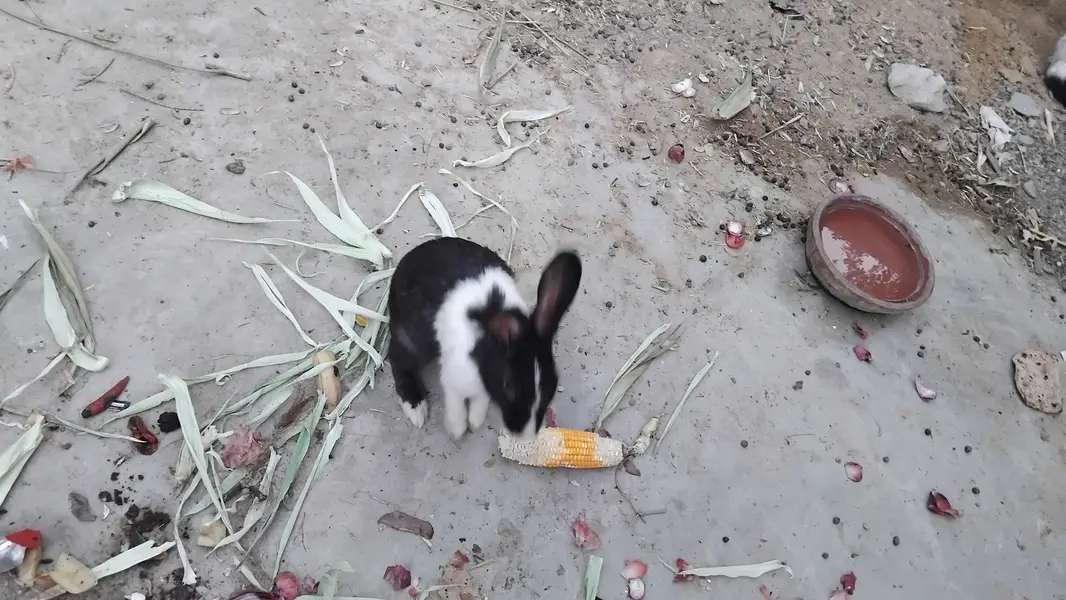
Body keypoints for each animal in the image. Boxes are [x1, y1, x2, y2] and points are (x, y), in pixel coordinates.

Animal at [386, 237, 582, 440]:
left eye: (553, 384)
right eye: (509, 386)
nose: (524, 436)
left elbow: (480, 401)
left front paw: (475, 420)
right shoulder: (452, 381)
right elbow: (456, 406)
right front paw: (457, 430)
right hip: (415, 340)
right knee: (398, 357)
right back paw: (416, 408)